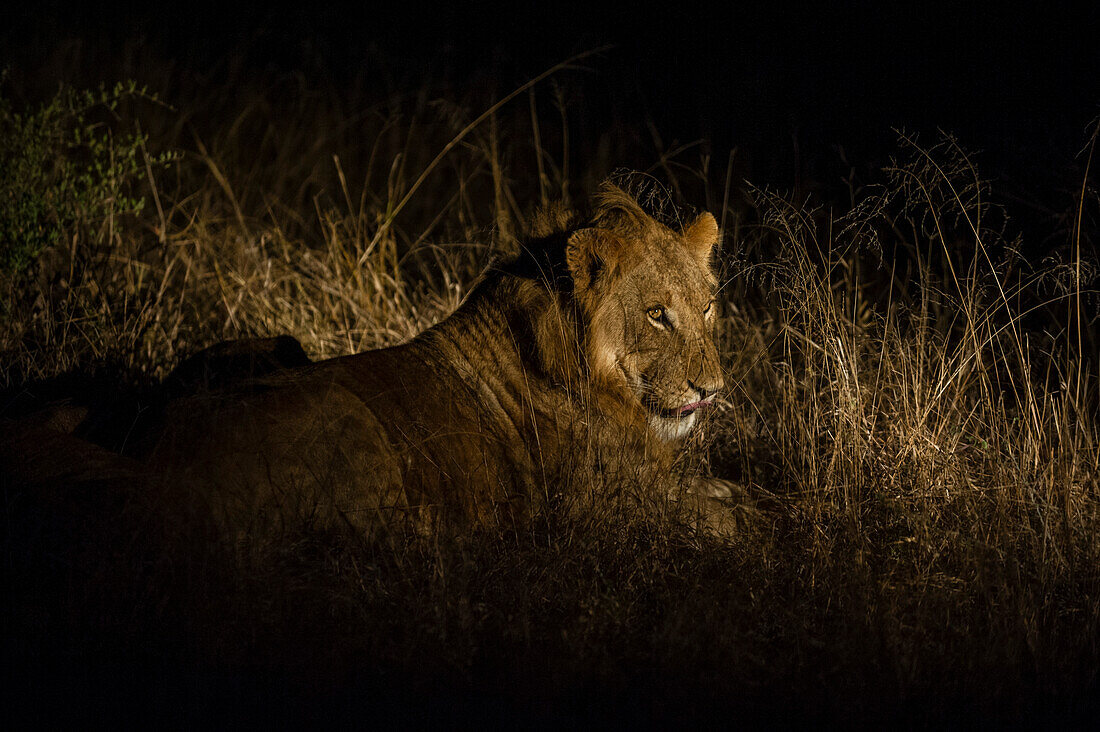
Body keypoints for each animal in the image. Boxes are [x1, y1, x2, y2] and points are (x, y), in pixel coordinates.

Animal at [137, 182, 739, 537]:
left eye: (707, 306)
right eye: (657, 313)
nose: (711, 390)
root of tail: (158, 464)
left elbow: (724, 493)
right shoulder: (602, 510)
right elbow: (729, 523)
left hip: (274, 344)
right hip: (349, 418)